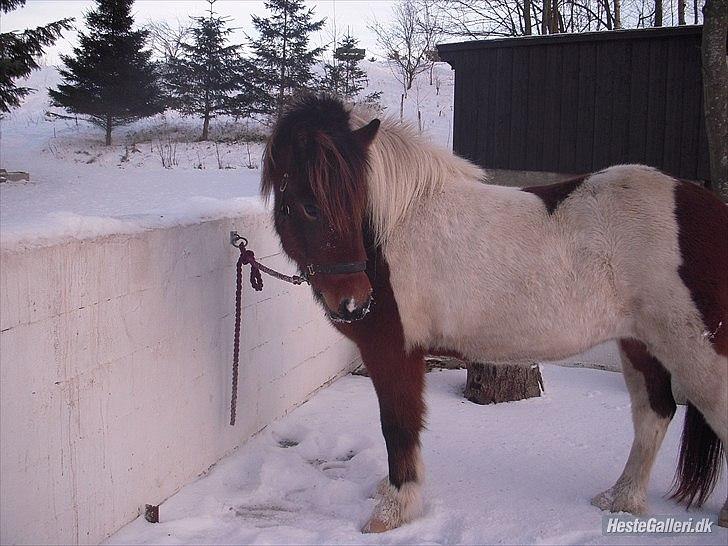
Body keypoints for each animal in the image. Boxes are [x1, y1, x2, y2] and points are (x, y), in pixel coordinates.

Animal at [262, 94, 728, 532]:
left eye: (356, 202)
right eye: (308, 206)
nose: (354, 302)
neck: (394, 228)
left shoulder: (393, 352)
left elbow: (398, 424)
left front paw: (392, 511)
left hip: (697, 353)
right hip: (639, 344)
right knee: (654, 413)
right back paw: (621, 499)